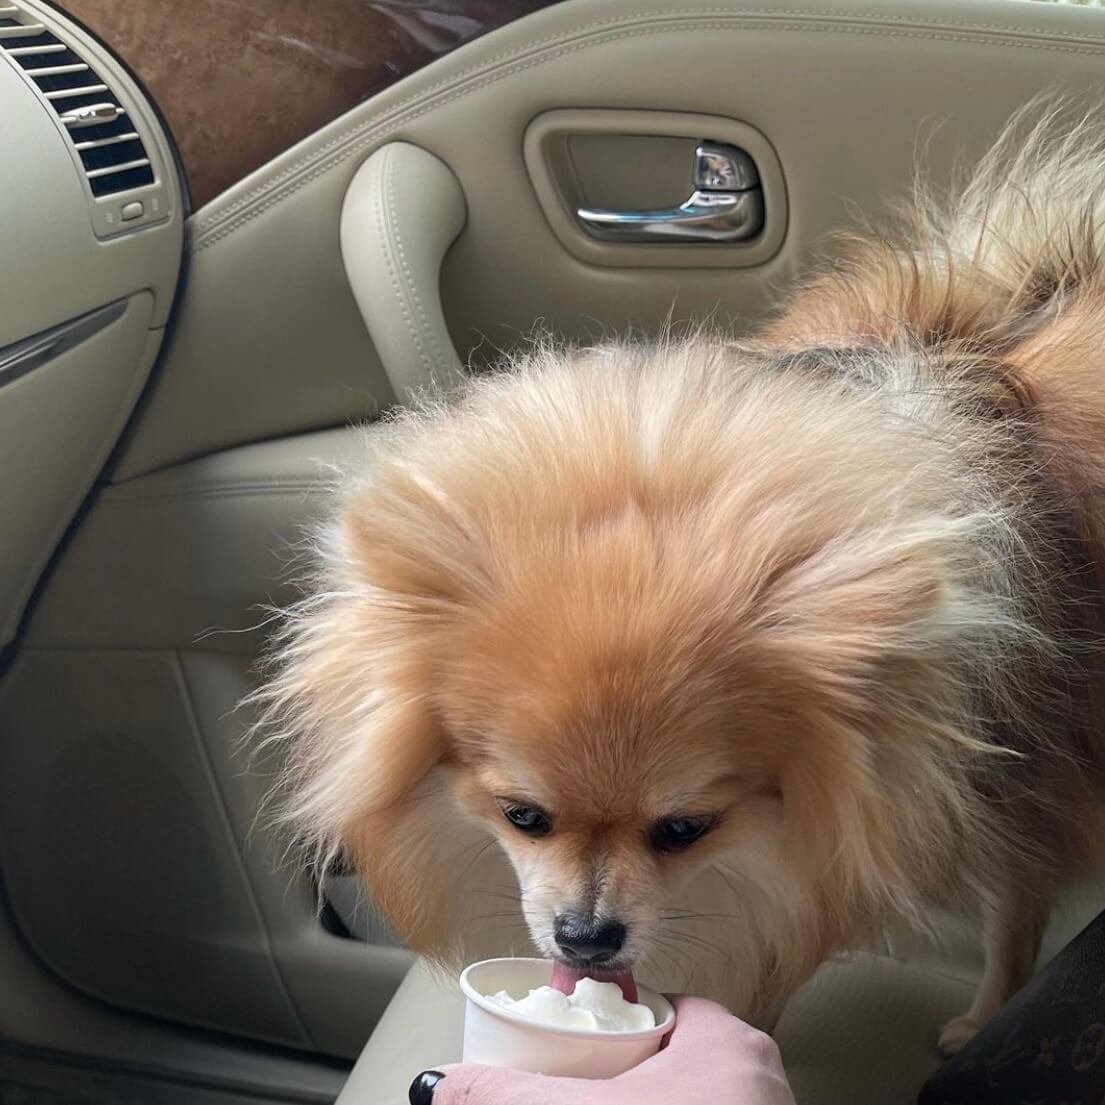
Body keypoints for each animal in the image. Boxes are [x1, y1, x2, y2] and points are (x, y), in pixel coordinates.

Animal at [256, 107, 1096, 1056]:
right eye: (521, 815)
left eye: (685, 830)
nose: (586, 934)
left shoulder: (1020, 790)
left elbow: (1009, 913)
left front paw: (986, 1015)